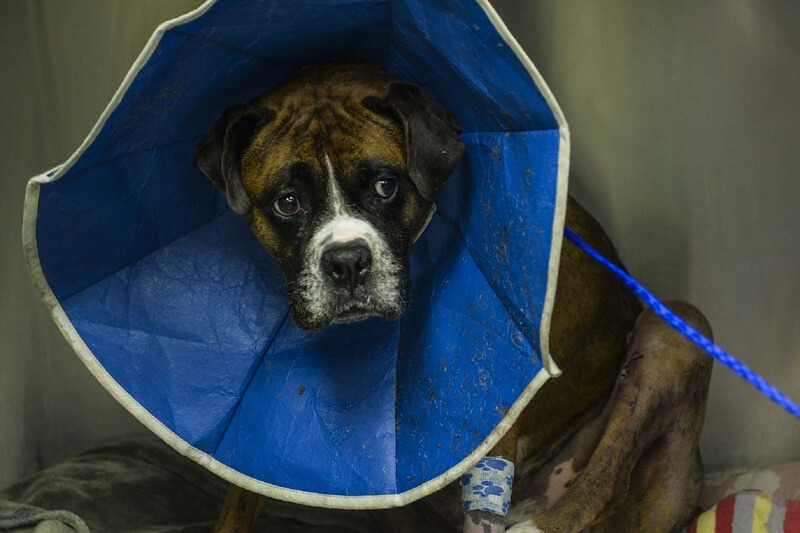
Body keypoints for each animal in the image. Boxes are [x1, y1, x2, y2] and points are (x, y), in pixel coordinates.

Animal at [194, 60, 712, 528]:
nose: (347, 261)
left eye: (386, 186)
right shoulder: (252, 461)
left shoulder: (494, 431)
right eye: (287, 202)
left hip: (677, 326)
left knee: (607, 483)